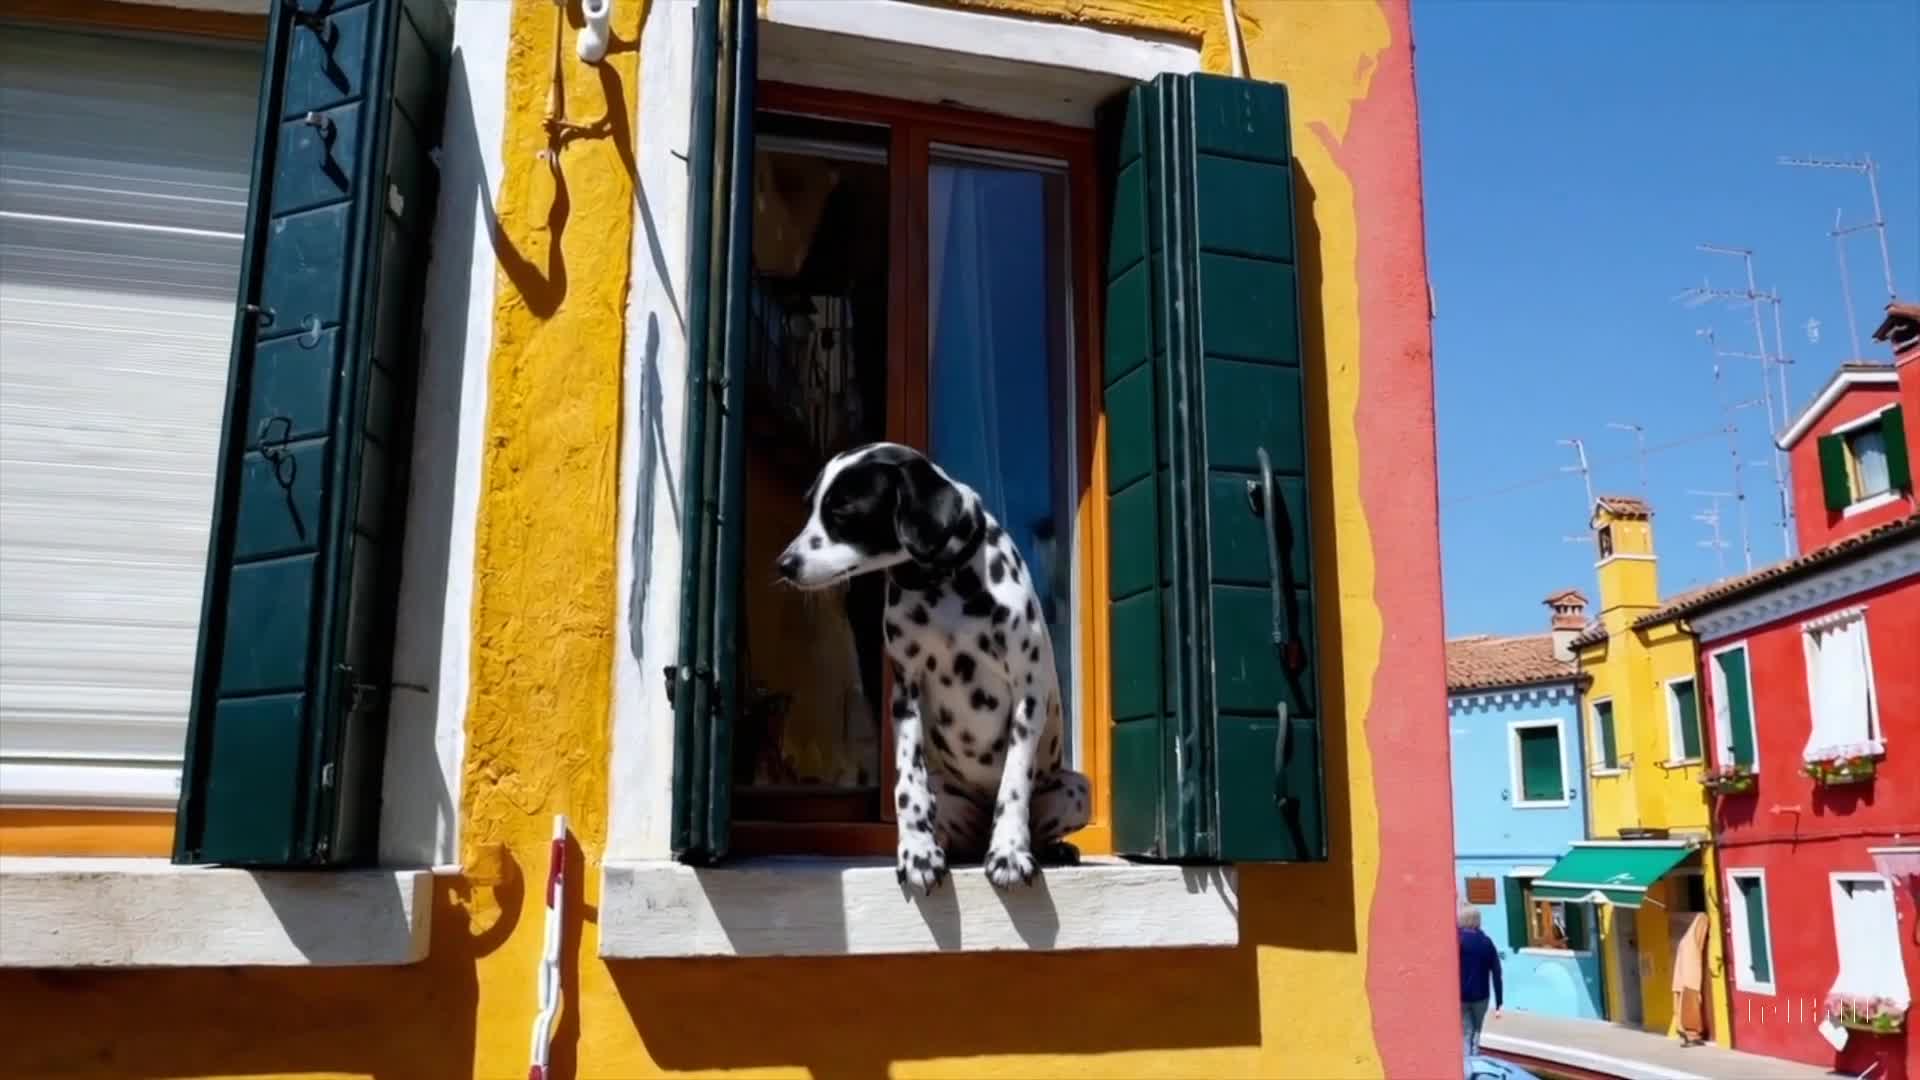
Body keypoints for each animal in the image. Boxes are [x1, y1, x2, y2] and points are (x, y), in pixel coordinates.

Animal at [771, 440, 1090, 891]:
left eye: (844, 512)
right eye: (810, 506)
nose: (784, 564)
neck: (944, 582)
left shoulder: (1028, 696)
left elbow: (1014, 784)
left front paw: (1009, 852)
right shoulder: (906, 694)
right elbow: (908, 786)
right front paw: (918, 853)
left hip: (1077, 790)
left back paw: (1051, 850)